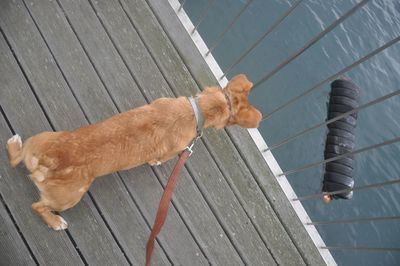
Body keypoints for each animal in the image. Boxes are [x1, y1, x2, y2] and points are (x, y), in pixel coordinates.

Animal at [7, 74, 262, 230]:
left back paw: (14, 143)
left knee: (14, 157)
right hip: (70, 198)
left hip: (39, 140)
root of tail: (49, 159)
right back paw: (55, 222)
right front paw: (156, 163)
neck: (198, 110)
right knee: (38, 207)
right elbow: (160, 159)